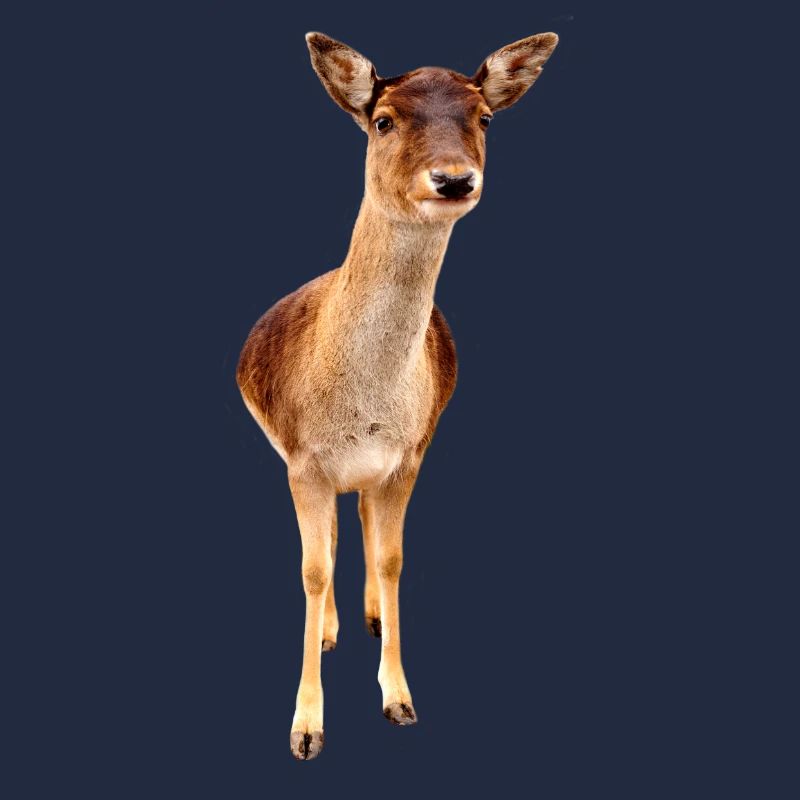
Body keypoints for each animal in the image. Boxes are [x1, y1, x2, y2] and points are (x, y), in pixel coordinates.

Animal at [236, 30, 559, 760]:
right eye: (383, 120)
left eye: (484, 118)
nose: (453, 179)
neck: (365, 412)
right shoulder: (302, 461)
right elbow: (311, 568)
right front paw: (306, 728)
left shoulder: (409, 454)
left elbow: (391, 558)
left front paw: (399, 698)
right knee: (330, 535)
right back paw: (333, 627)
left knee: (357, 518)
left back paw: (372, 617)